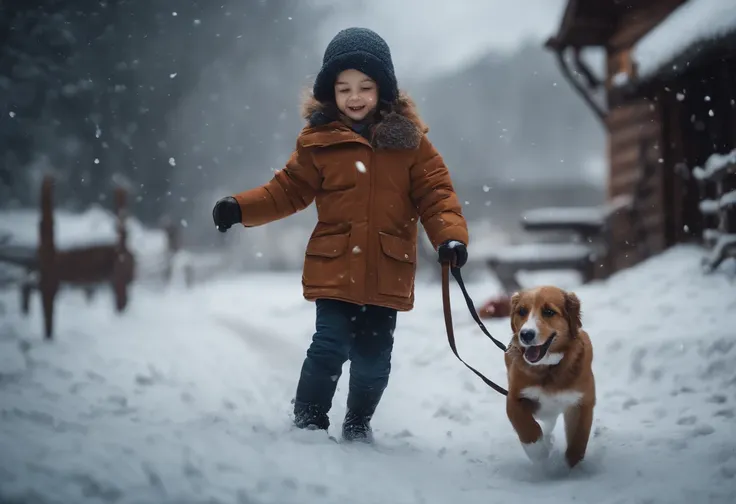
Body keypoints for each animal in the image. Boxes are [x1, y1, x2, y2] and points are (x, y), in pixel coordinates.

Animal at [504, 286, 596, 466]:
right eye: (522, 311)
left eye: (548, 312)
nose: (526, 334)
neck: (549, 368)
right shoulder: (514, 399)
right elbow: (527, 428)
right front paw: (539, 454)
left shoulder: (583, 402)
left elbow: (579, 439)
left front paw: (571, 467)